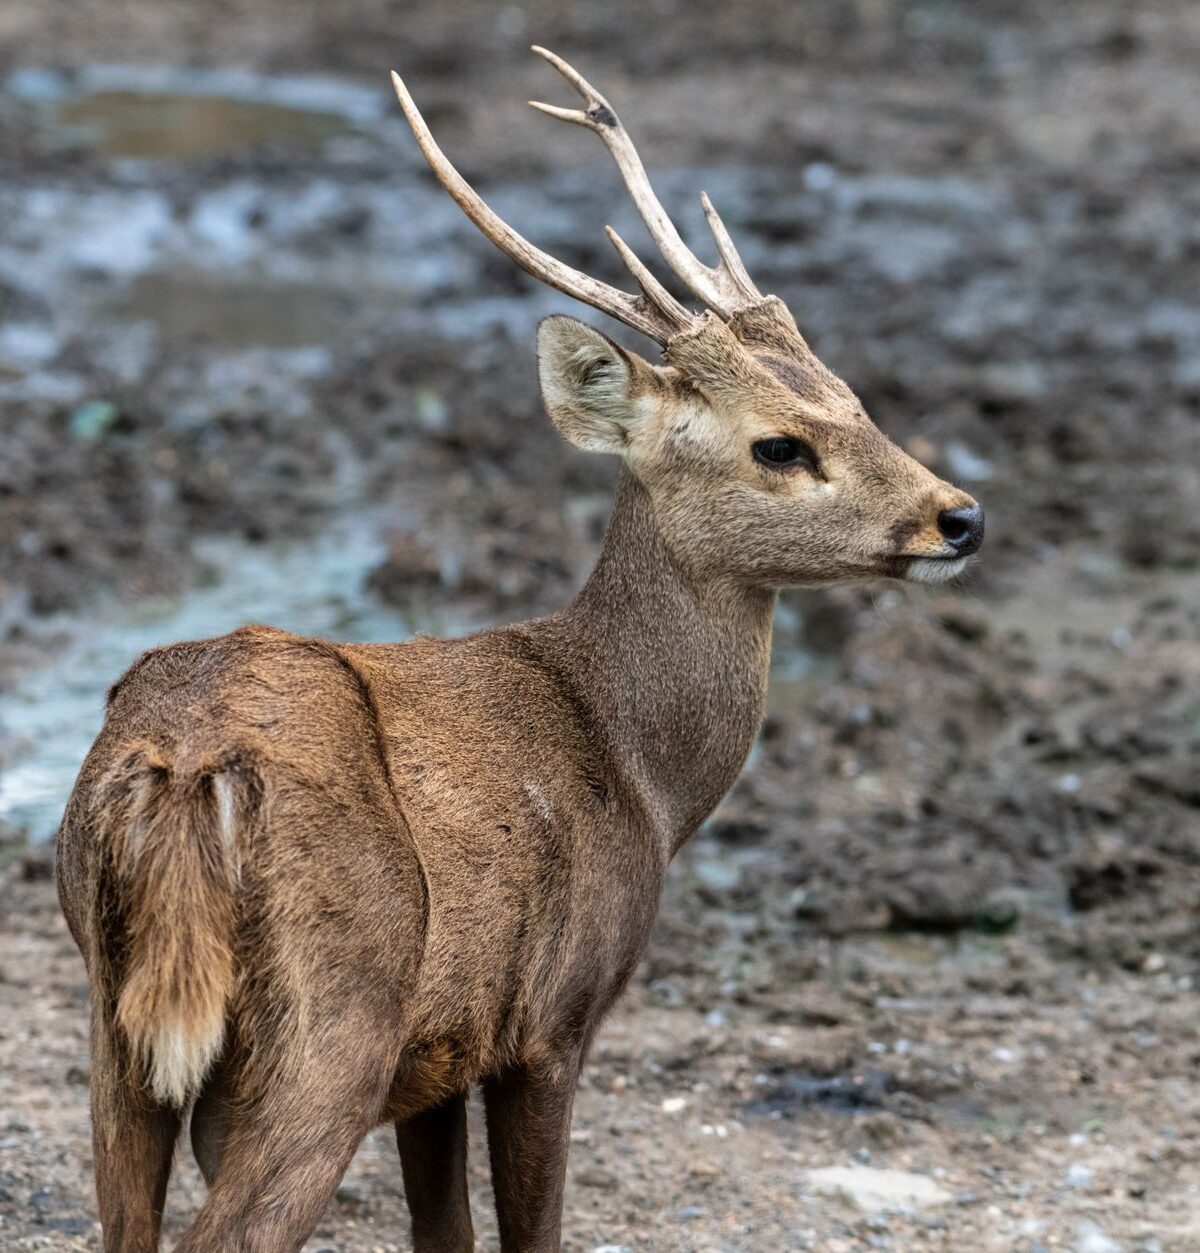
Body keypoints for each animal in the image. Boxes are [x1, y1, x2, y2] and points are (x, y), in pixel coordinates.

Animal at [55, 46, 984, 1253]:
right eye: (779, 445)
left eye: (856, 400)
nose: (959, 516)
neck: (639, 770)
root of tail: (180, 770)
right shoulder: (547, 1020)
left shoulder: (435, 1056)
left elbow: (443, 1231)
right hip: (328, 1029)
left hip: (116, 1025)